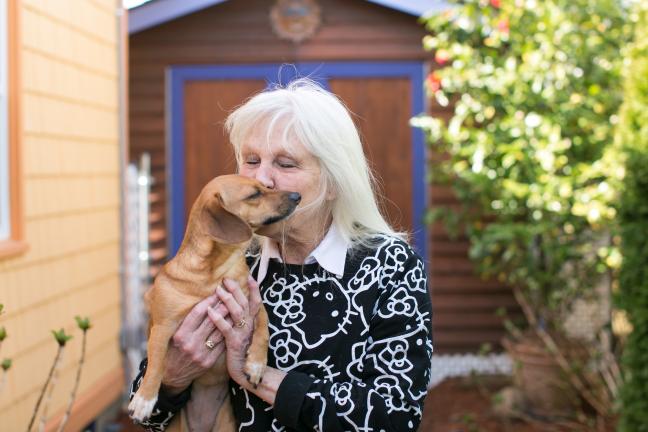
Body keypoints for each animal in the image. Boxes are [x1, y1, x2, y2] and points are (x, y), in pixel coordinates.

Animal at [129, 174, 302, 430]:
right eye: (254, 194)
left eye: (266, 187)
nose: (297, 196)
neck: (213, 275)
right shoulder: (162, 327)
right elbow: (156, 364)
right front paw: (144, 400)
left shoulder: (253, 305)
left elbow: (264, 329)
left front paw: (256, 364)